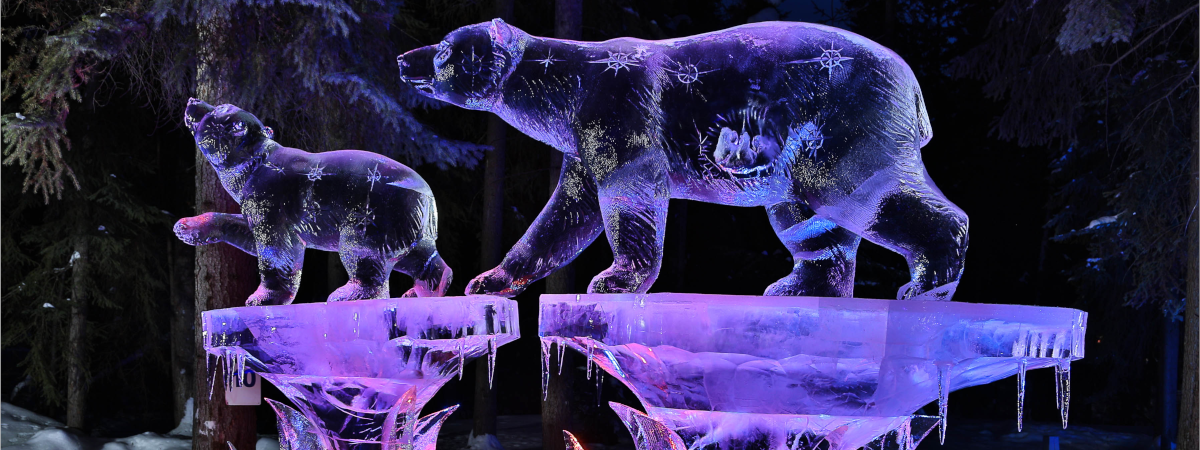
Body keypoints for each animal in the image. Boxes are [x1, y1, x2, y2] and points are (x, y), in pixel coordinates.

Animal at [398, 19, 969, 301]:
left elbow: (629, 195)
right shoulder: (581, 143)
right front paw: (489, 278)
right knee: (809, 221)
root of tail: (911, 85)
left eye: (444, 48)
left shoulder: (620, 109)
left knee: (863, 192)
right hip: (795, 154)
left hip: (844, 123)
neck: (563, 88)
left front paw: (614, 279)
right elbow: (563, 217)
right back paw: (795, 288)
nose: (405, 59)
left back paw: (926, 285)